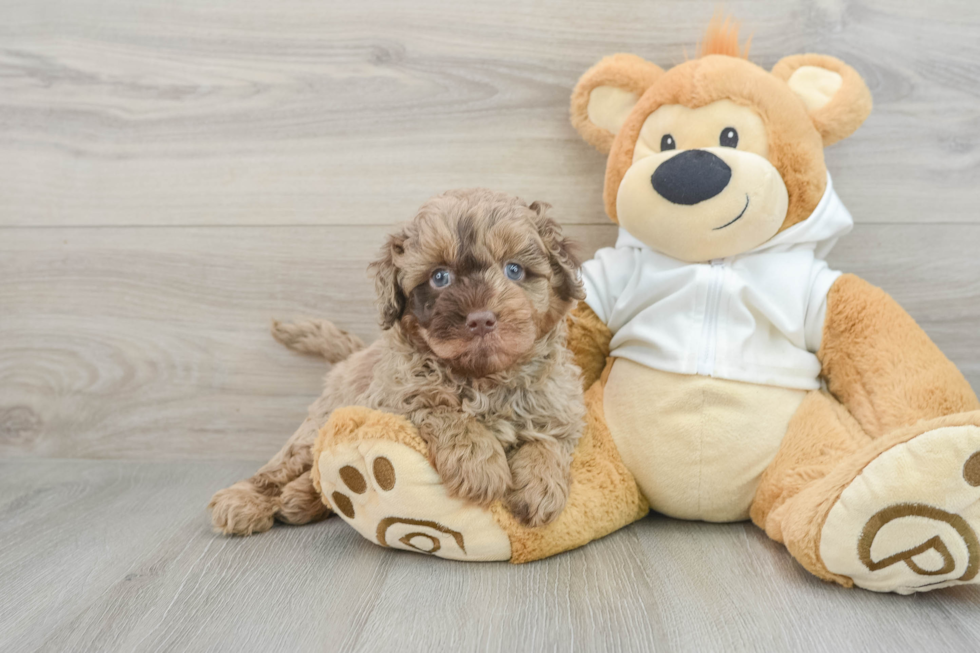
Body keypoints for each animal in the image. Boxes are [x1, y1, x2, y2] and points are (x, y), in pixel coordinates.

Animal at [208, 186, 584, 532]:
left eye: (514, 270)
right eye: (439, 277)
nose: (481, 319)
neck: (483, 378)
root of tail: (352, 356)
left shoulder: (558, 405)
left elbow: (550, 440)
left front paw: (541, 487)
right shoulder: (394, 397)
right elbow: (443, 410)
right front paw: (479, 464)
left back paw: (300, 499)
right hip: (320, 422)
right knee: (283, 465)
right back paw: (243, 501)